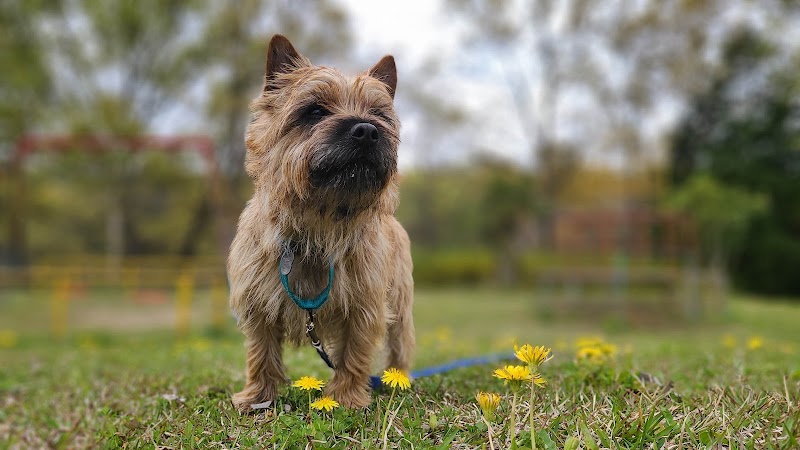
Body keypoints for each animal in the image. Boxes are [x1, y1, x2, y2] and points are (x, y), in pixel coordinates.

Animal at [225, 35, 412, 412]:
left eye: (378, 114)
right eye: (314, 111)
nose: (367, 130)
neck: (319, 223)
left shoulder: (365, 306)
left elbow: (354, 353)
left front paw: (346, 398)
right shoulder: (257, 303)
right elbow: (260, 352)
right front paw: (257, 397)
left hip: (400, 305)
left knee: (400, 345)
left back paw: (398, 380)